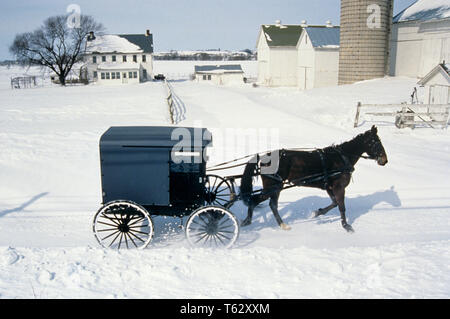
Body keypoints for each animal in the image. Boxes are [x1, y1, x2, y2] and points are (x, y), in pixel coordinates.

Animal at [241, 126, 388, 234]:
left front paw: (317, 213)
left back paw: (255, 221)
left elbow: (334, 203)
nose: (384, 160)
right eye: (376, 142)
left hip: (275, 186)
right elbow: (341, 206)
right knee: (263, 202)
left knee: (264, 202)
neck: (341, 158)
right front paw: (346, 226)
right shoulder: (339, 187)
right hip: (274, 186)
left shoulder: (329, 187)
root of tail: (263, 158)